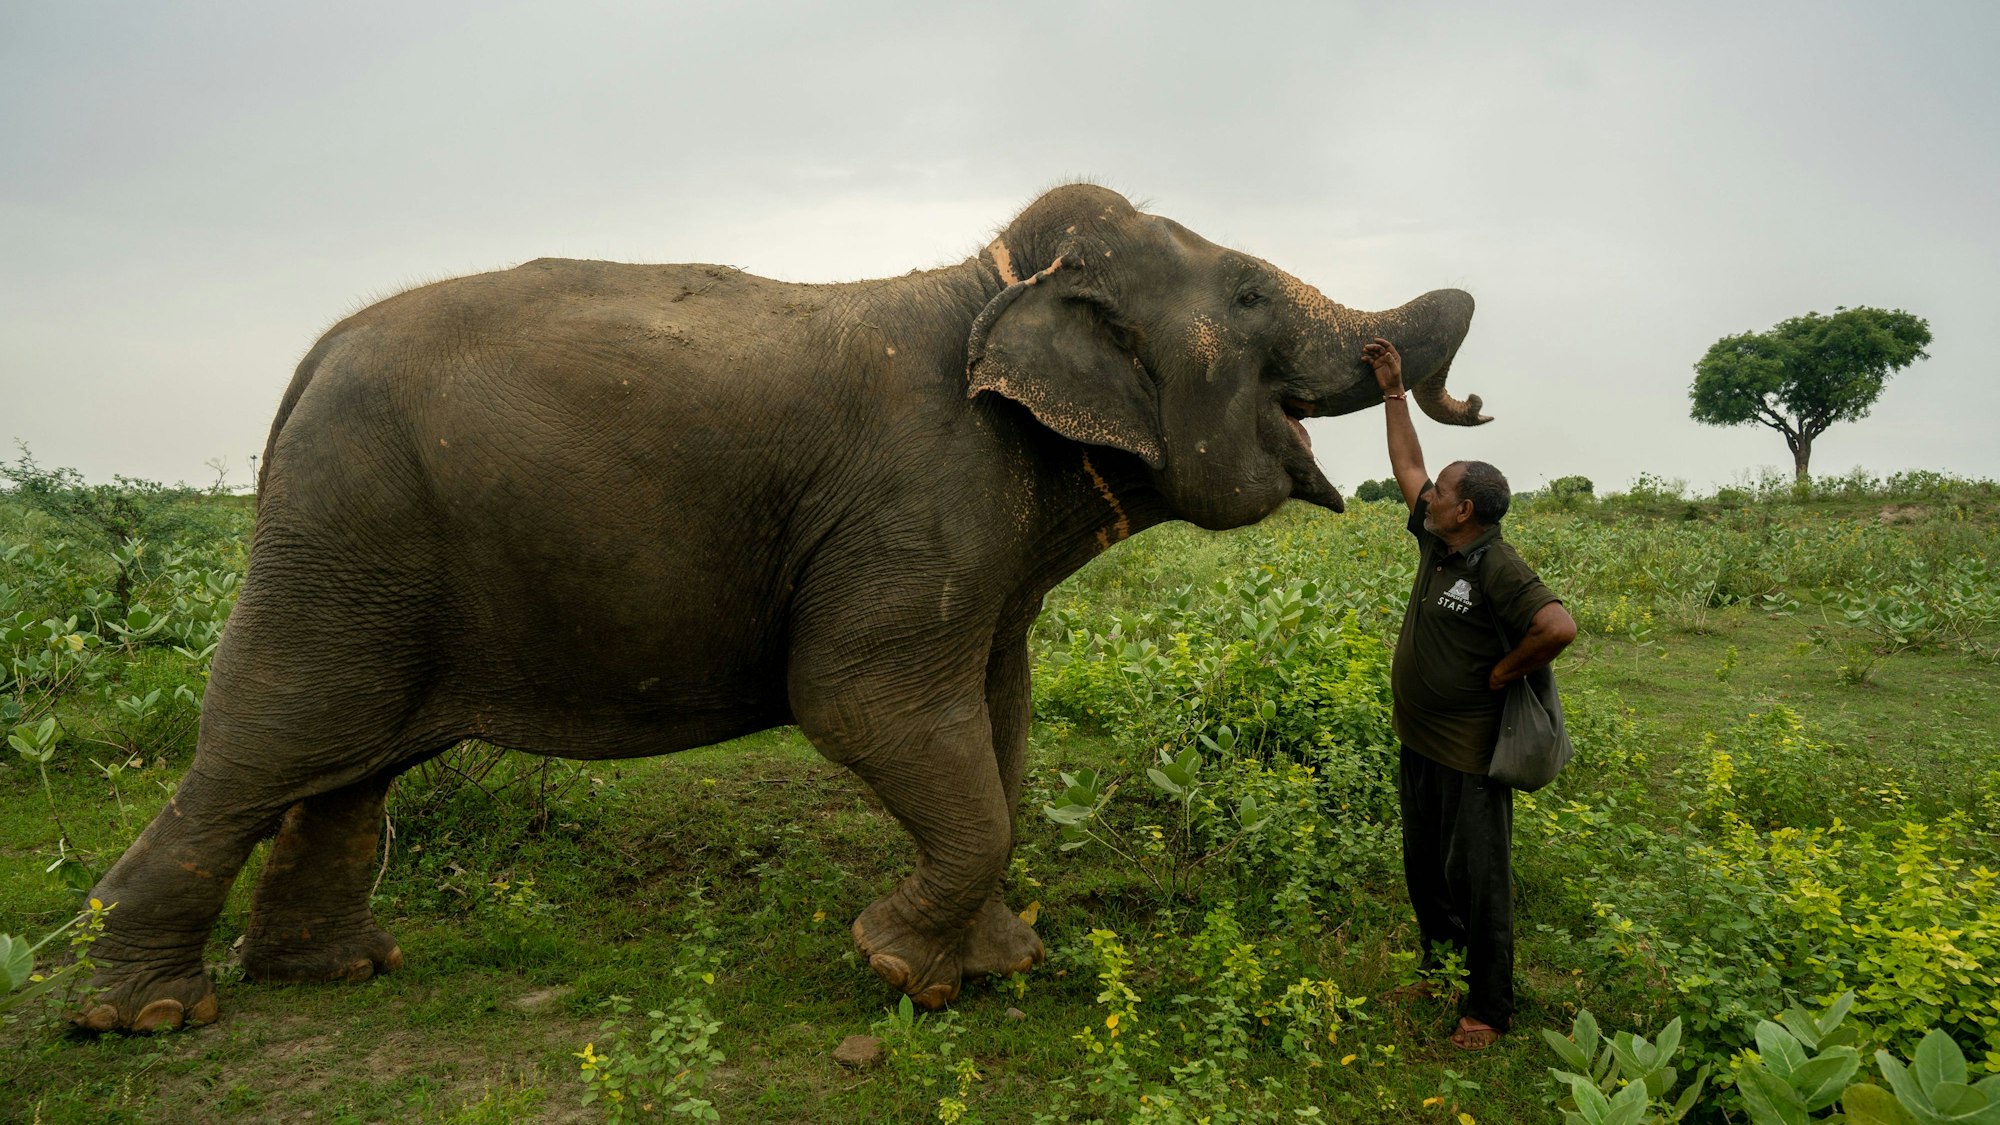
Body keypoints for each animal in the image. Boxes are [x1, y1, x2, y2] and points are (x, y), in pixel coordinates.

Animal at [77, 184, 1486, 1031]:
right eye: (1244, 293)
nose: (1439, 376)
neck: (992, 278)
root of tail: (306, 362)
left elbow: (997, 719)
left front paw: (991, 970)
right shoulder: (922, 497)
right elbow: (858, 698)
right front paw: (899, 971)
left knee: (345, 769)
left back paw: (338, 973)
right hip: (341, 540)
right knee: (264, 750)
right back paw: (149, 1016)